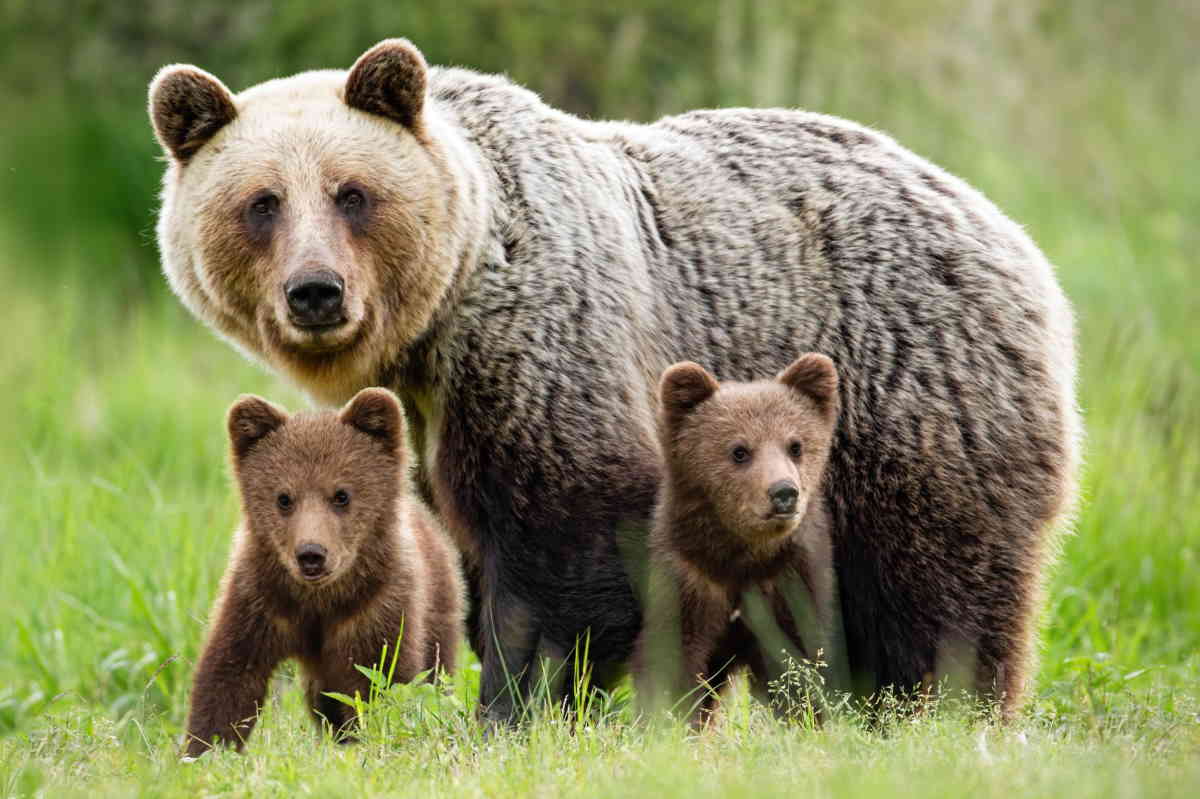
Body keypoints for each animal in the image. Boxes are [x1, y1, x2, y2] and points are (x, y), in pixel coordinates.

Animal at [147, 40, 1080, 719]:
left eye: (352, 193)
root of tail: (1004, 228)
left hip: (912, 401)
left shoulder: (546, 355)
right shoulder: (437, 427)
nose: (316, 291)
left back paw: (937, 710)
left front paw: (515, 708)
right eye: (262, 202)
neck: (437, 329)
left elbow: (564, 551)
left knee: (938, 591)